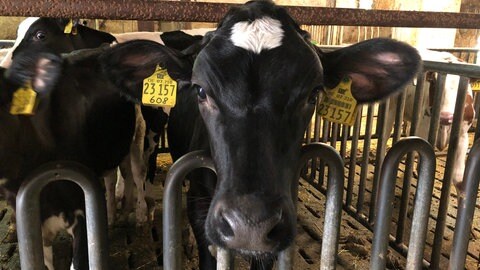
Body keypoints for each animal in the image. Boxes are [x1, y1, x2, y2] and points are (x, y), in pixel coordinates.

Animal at [384, 49, 474, 207]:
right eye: (433, 81)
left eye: (463, 87)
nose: (445, 116)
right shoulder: (424, 131)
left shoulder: (463, 136)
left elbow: (458, 177)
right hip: (392, 110)